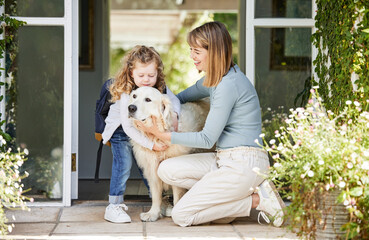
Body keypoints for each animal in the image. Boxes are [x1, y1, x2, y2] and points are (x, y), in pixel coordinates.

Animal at [127, 86, 208, 221]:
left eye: (148, 99)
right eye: (134, 96)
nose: (131, 108)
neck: (157, 136)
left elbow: (177, 194)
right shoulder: (151, 168)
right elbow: (156, 194)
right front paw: (153, 213)